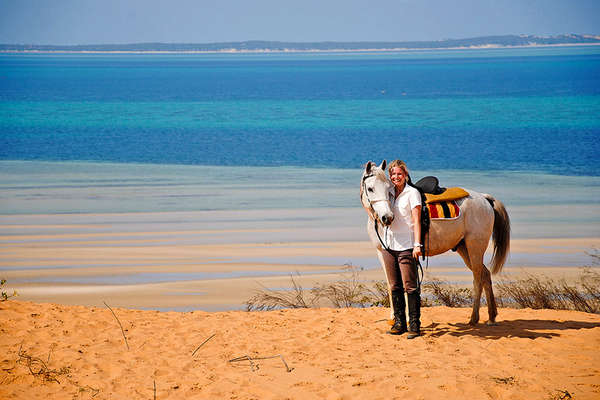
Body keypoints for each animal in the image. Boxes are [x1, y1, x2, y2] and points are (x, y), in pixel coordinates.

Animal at [360, 159, 510, 324]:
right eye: (370, 188)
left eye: (389, 188)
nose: (387, 217)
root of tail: (484, 199)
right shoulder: (383, 253)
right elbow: (391, 283)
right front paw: (394, 317)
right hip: (464, 248)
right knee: (485, 274)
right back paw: (491, 316)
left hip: (475, 247)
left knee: (477, 277)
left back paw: (473, 318)